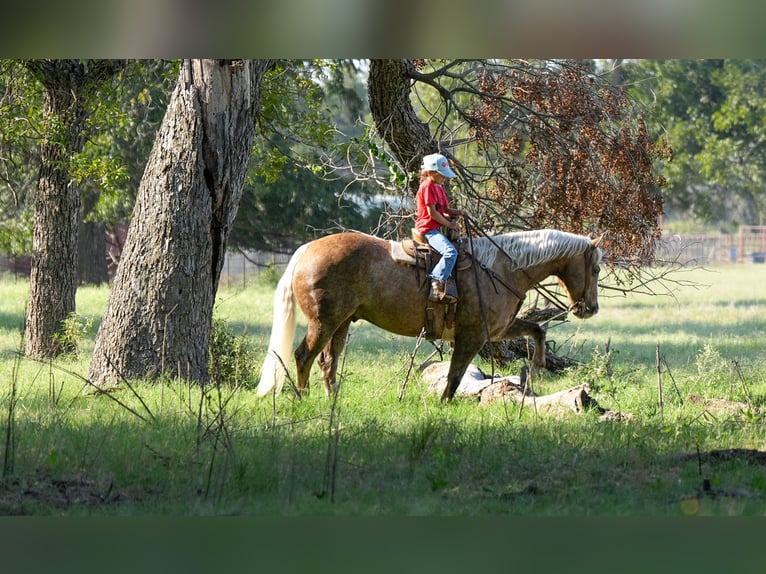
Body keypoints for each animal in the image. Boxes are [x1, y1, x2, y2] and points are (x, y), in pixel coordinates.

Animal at [258, 227, 608, 402]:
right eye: (595, 268)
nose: (590, 309)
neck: (500, 269)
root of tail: (308, 249)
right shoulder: (472, 336)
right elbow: (454, 375)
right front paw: (444, 405)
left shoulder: (496, 331)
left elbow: (537, 331)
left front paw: (536, 367)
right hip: (324, 321)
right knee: (303, 356)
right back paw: (303, 398)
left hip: (341, 322)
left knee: (327, 361)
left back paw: (333, 399)